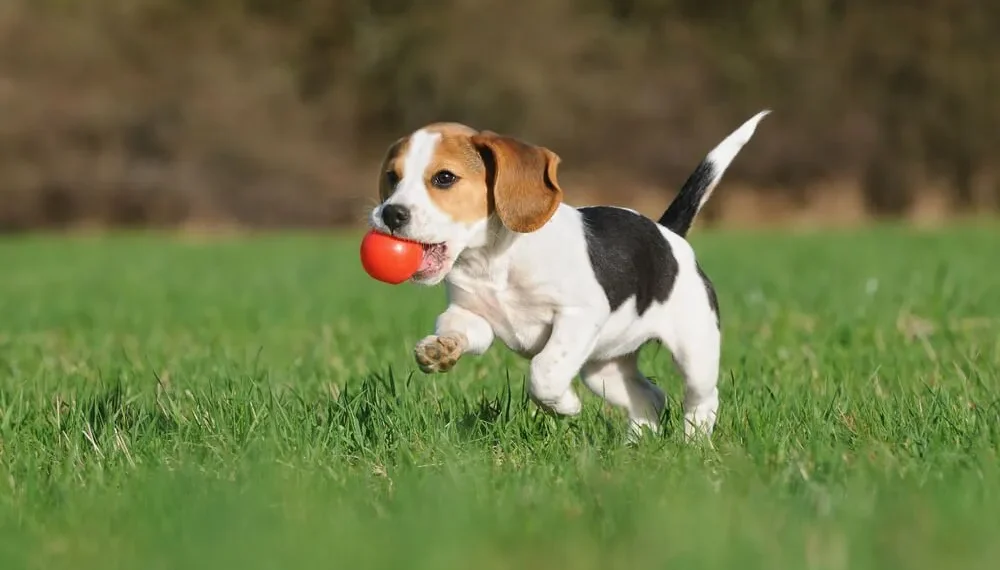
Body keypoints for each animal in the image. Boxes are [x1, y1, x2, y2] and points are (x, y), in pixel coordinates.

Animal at [372, 111, 768, 440]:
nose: (390, 213)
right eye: (392, 177)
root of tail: (667, 232)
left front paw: (565, 406)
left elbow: (544, 372)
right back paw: (635, 446)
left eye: (444, 178)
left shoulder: (578, 315)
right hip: (603, 369)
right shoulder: (473, 317)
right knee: (650, 397)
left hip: (694, 350)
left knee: (702, 399)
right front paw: (440, 349)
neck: (494, 259)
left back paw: (694, 444)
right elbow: (457, 328)